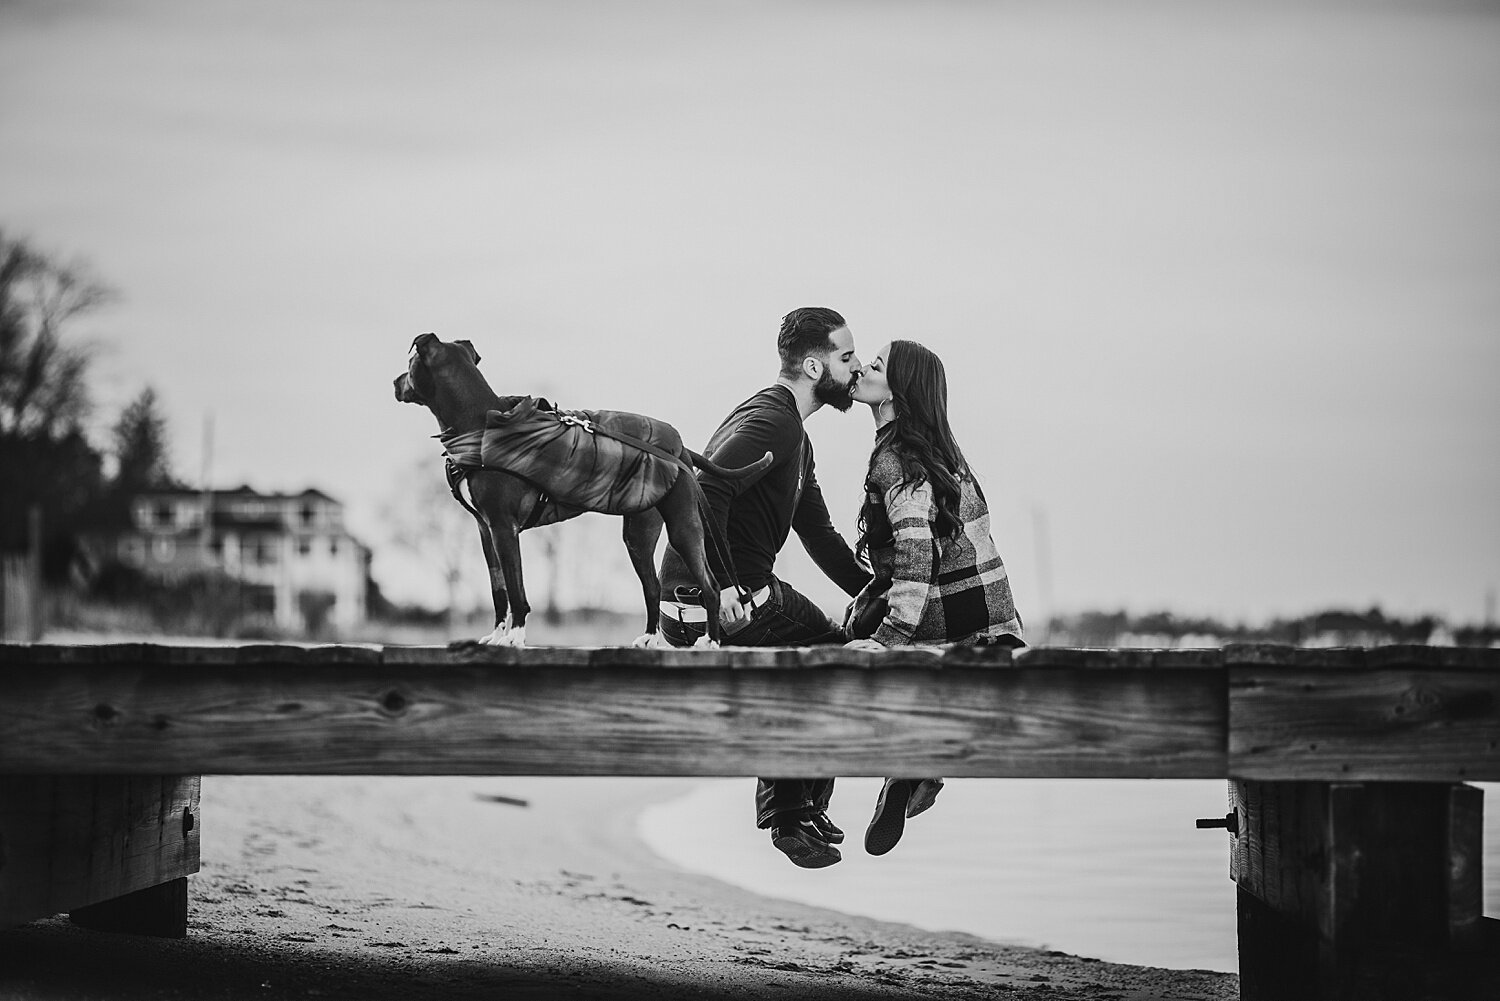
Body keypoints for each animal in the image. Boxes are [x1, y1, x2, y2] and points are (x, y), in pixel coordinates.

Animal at [396, 334, 774, 651]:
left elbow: (516, 591)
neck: (479, 421)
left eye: (410, 362)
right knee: (652, 587)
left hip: (683, 526)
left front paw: (514, 638)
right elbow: (498, 590)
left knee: (709, 585)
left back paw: (711, 641)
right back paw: (649, 638)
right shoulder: (485, 529)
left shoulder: (504, 527)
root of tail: (679, 447)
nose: (394, 382)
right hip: (638, 533)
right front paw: (496, 634)